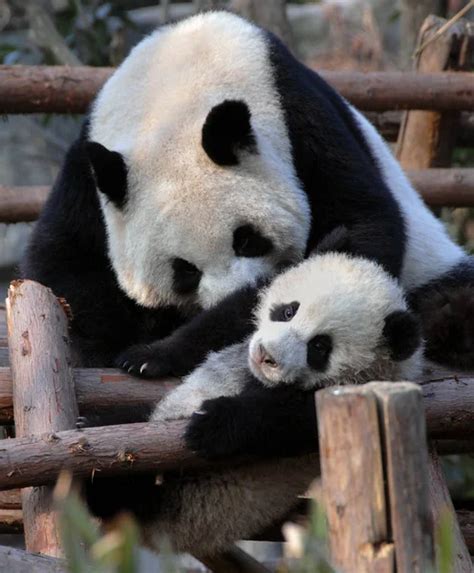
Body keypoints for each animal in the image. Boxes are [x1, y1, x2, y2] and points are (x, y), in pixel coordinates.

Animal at [22, 12, 474, 376]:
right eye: (184, 271)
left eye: (247, 238)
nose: (236, 294)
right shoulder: (89, 172)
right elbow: (63, 266)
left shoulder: (301, 118)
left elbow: (361, 227)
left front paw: (155, 354)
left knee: (450, 303)